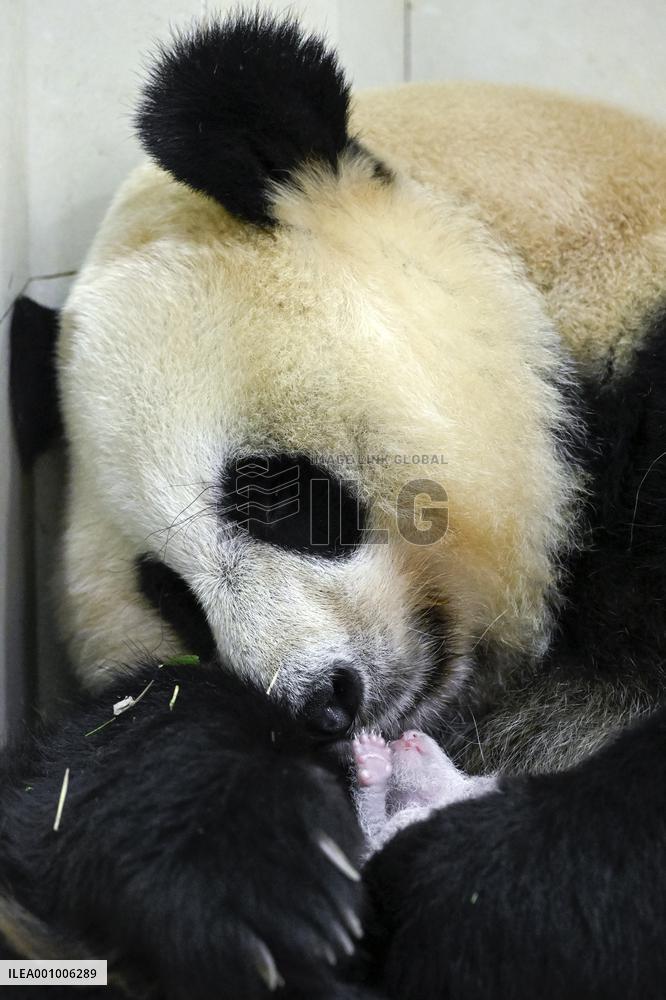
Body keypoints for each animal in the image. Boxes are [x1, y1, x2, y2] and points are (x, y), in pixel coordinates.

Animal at [11, 7, 666, 998]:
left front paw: (451, 892)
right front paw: (263, 879)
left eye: (272, 490)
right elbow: (80, 764)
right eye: (170, 597)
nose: (320, 704)